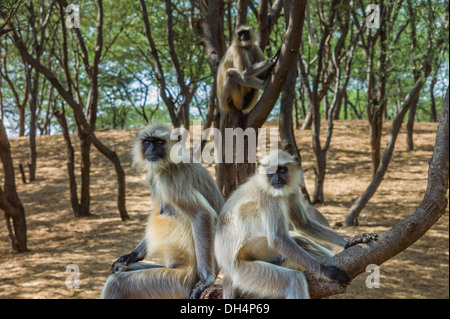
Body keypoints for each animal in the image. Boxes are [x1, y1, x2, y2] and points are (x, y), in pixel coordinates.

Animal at [100, 123, 223, 300]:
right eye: (147, 142)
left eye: (158, 142)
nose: (151, 149)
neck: (169, 163)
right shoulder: (154, 177)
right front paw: (132, 255)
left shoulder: (171, 179)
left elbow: (202, 215)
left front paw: (205, 281)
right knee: (122, 271)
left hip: (176, 282)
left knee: (116, 283)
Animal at [216, 152, 378, 300]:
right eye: (270, 172)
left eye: (282, 170)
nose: (276, 178)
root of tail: (227, 269)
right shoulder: (267, 195)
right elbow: (277, 238)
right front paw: (326, 272)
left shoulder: (292, 190)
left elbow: (303, 223)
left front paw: (356, 239)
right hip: (243, 270)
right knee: (294, 280)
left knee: (299, 239)